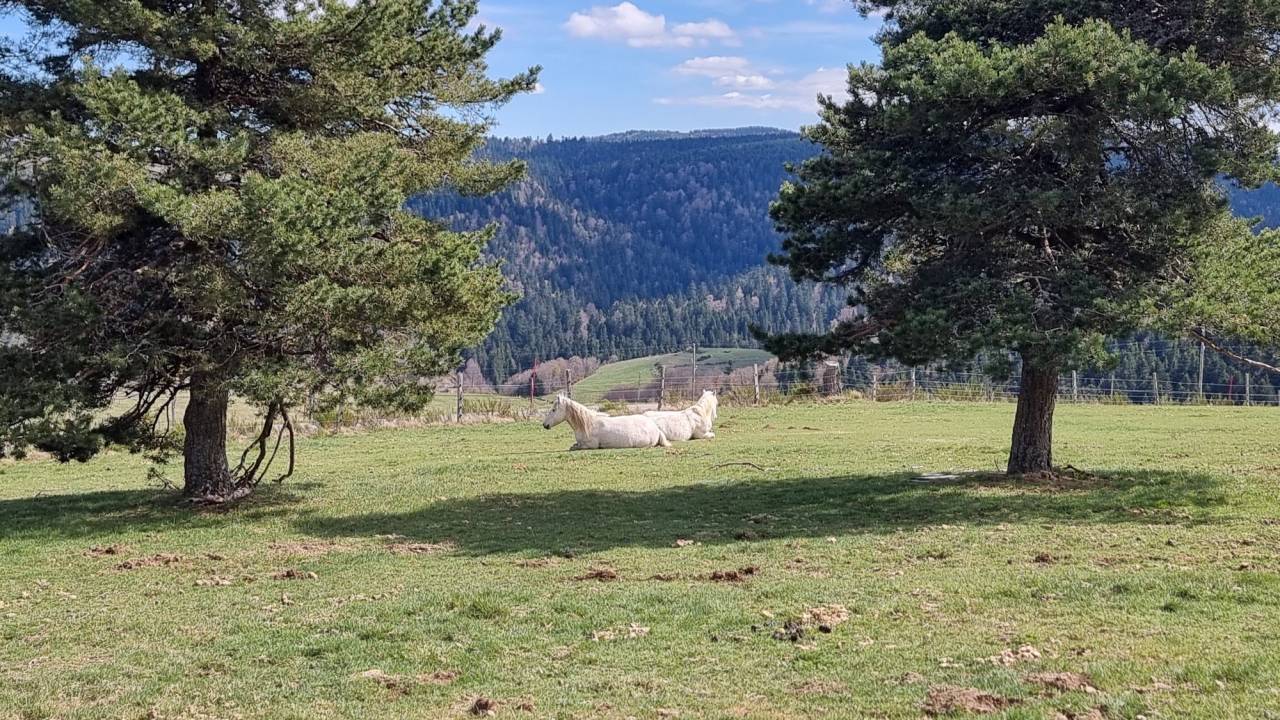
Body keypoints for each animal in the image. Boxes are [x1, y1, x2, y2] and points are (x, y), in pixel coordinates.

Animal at [542, 394, 671, 450]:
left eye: (553, 410)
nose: (545, 425)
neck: (587, 424)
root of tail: (656, 428)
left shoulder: (590, 445)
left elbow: (574, 447)